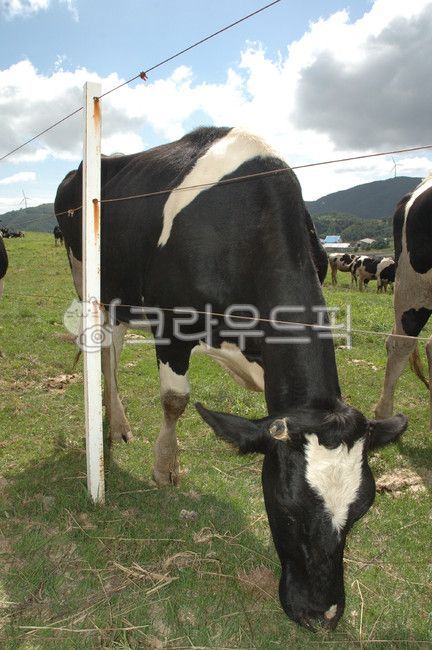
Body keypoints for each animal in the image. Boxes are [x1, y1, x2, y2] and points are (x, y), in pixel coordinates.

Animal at [56, 126, 407, 630]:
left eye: (361, 509)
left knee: (113, 350)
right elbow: (175, 401)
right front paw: (165, 467)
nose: (321, 614)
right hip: (89, 280)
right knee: (101, 350)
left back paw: (117, 422)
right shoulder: (170, 325)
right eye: (286, 506)